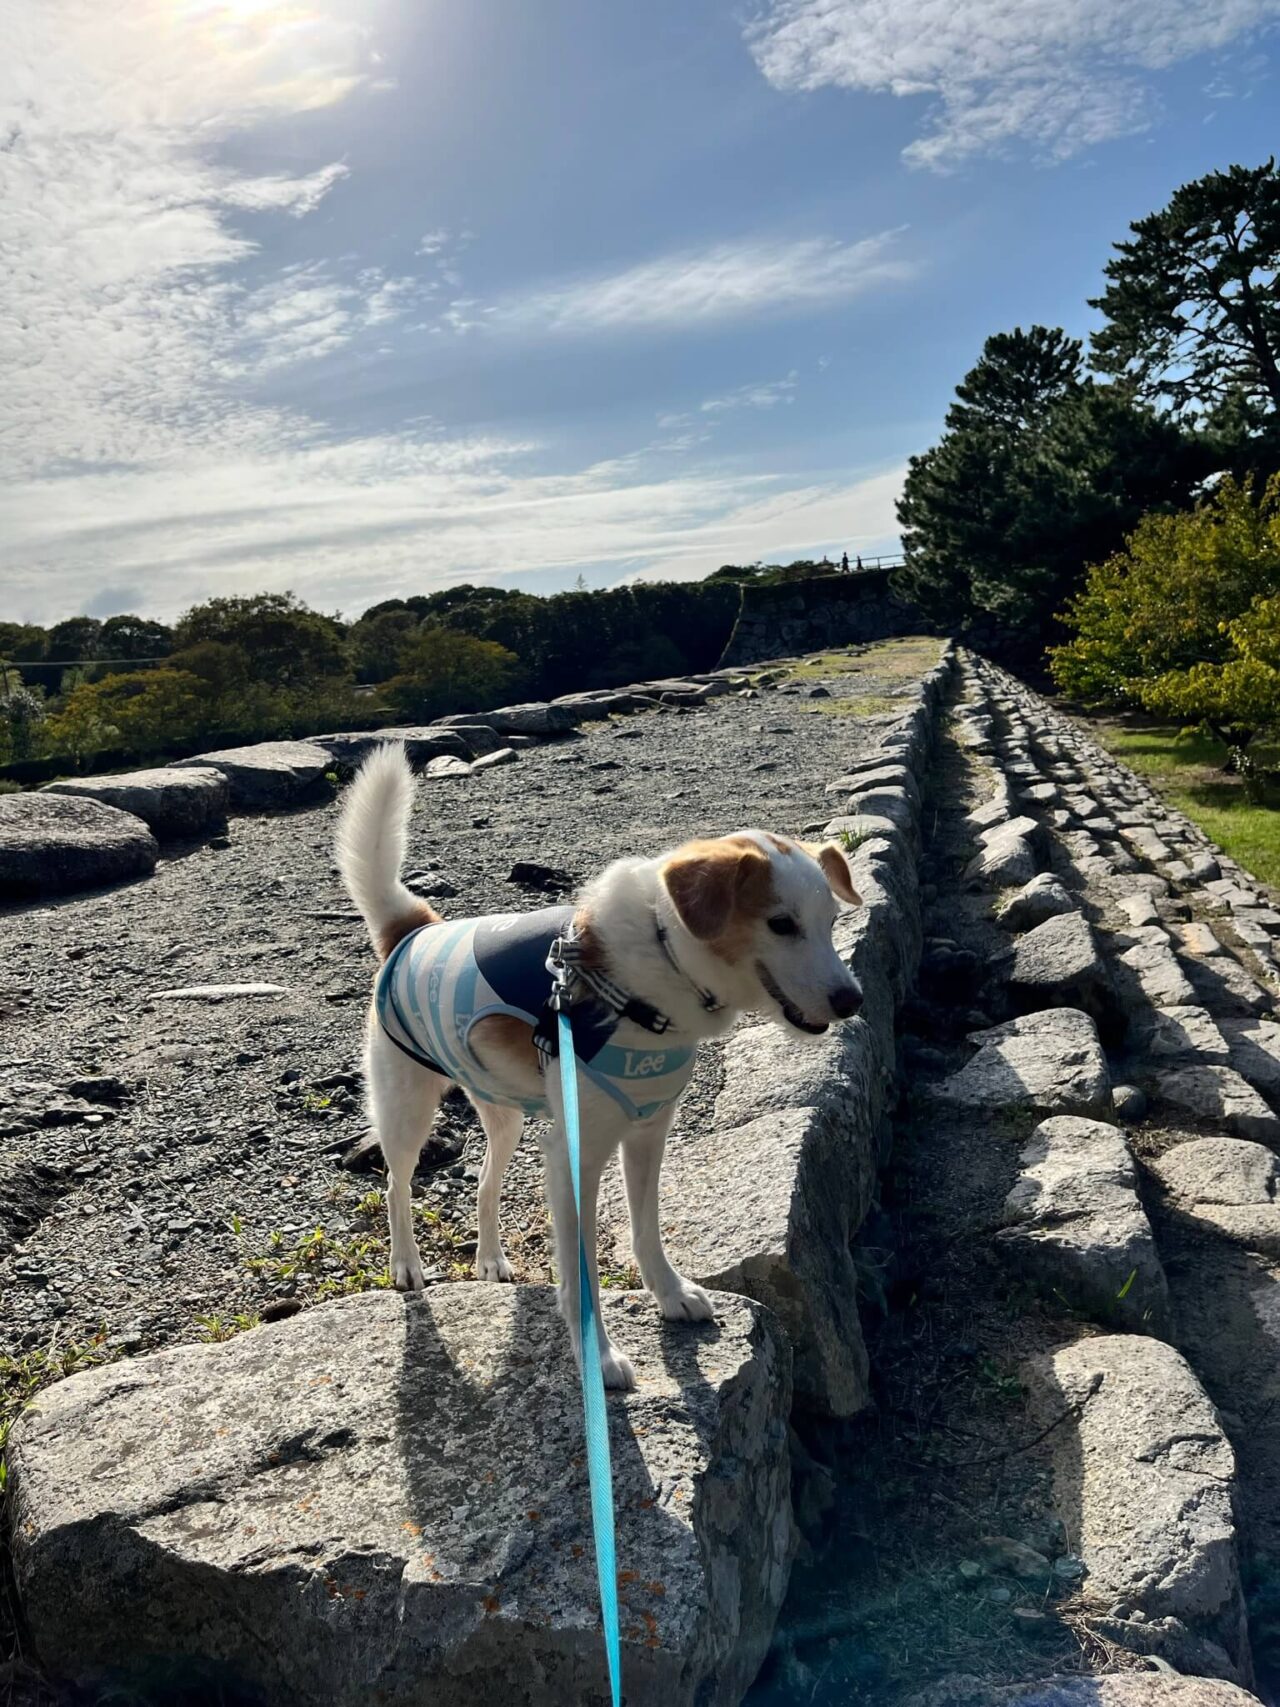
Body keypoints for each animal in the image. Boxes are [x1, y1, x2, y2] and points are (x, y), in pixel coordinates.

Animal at [336, 747, 866, 1386]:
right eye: (781, 924)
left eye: (832, 922)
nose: (852, 1001)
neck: (662, 957)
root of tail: (412, 929)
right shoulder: (576, 1156)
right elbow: (581, 1271)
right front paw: (600, 1357)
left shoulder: (647, 1131)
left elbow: (646, 1228)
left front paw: (670, 1294)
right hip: (406, 1108)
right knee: (396, 1185)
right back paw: (407, 1265)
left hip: (504, 1113)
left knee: (485, 1183)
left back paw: (490, 1258)